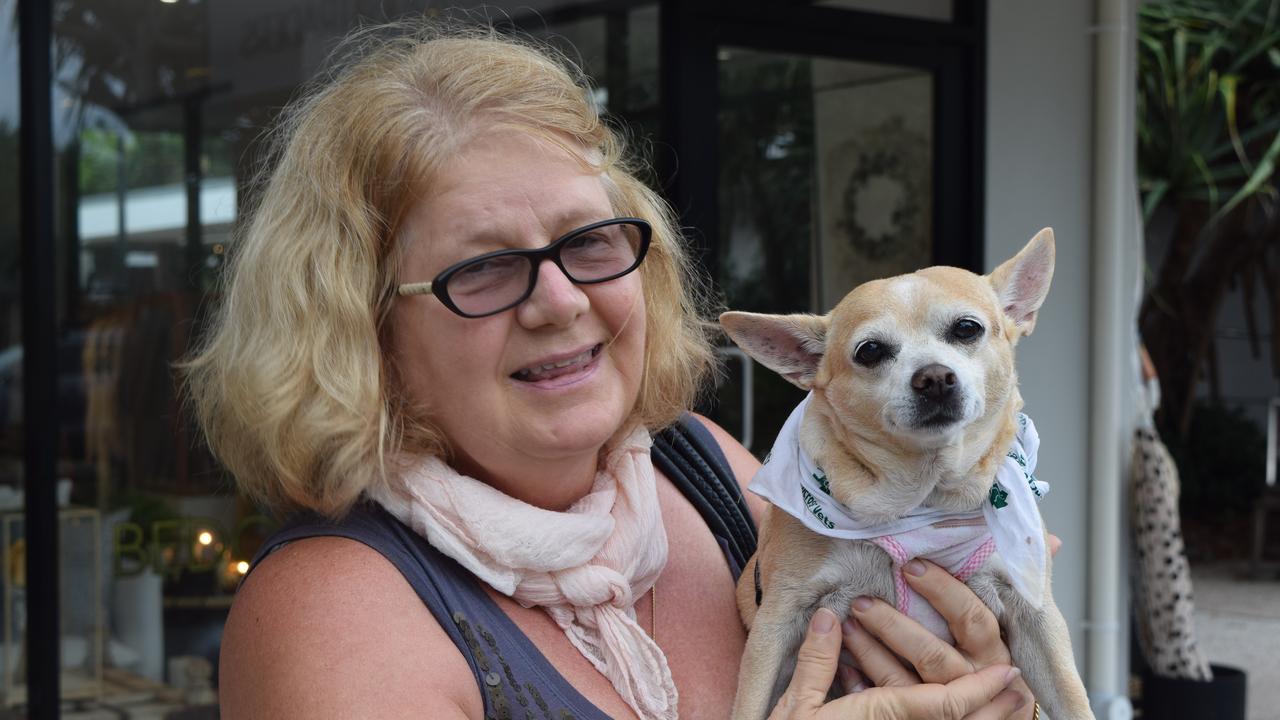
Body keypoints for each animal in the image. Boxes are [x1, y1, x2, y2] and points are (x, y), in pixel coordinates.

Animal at [721, 229, 1090, 717]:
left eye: (967, 328)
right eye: (870, 351)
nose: (933, 377)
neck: (923, 499)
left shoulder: (1036, 615)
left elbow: (1072, 700)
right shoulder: (778, 620)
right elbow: (750, 703)